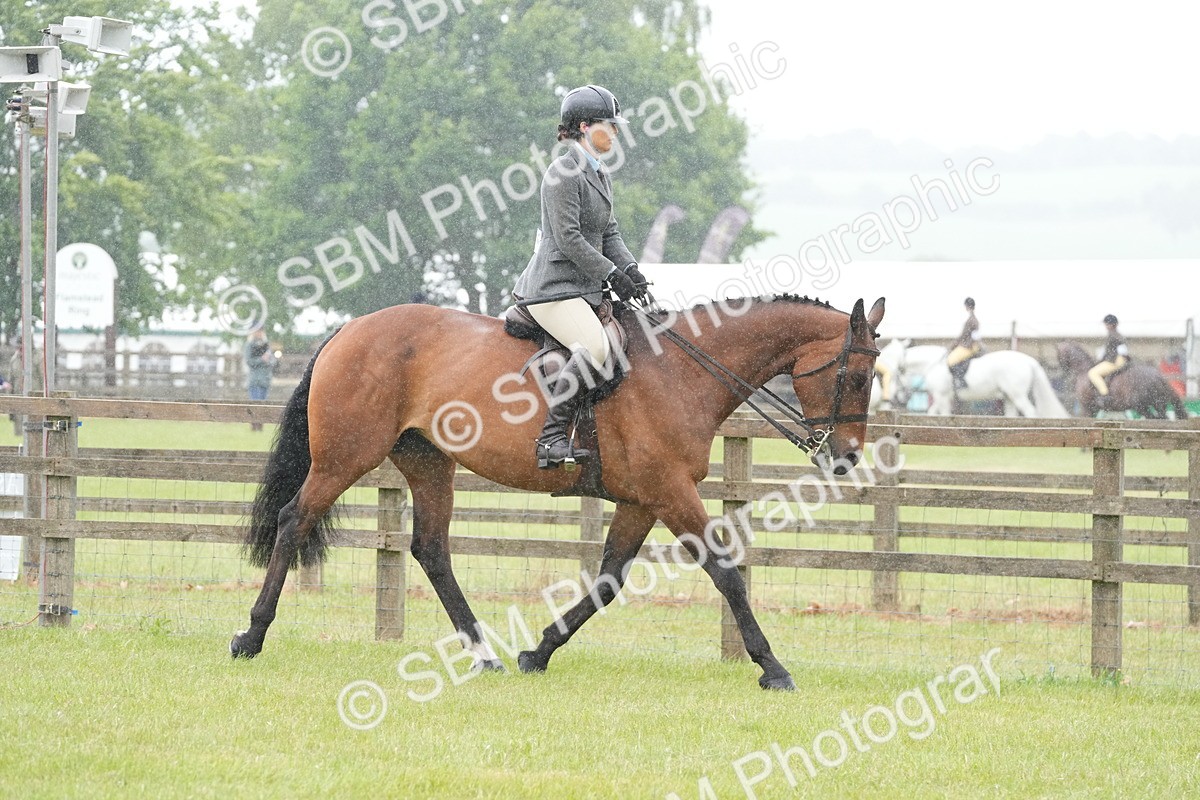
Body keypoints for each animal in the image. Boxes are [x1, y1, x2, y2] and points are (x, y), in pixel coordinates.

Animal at [230, 294, 886, 691]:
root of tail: (349, 328)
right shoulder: (670, 492)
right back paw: (250, 637)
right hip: (344, 457)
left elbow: (608, 580)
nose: (847, 456)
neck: (684, 371)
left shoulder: (641, 500)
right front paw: (773, 667)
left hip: (428, 463)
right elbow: (725, 572)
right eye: (855, 375)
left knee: (432, 550)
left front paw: (538, 652)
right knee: (294, 520)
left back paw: (486, 654)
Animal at [876, 339, 1068, 417]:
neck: (932, 363)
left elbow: (943, 415)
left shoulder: (941, 396)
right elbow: (931, 413)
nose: (900, 397)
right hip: (1009, 397)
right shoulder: (940, 397)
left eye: (898, 374)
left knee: (1030, 412)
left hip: (1017, 395)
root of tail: (1029, 360)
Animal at [1056, 342, 1188, 419]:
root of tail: (1158, 376)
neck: (1083, 371)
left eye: (1058, 356)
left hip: (1142, 406)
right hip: (1158, 404)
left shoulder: (1087, 408)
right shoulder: (1092, 409)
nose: (1064, 373)